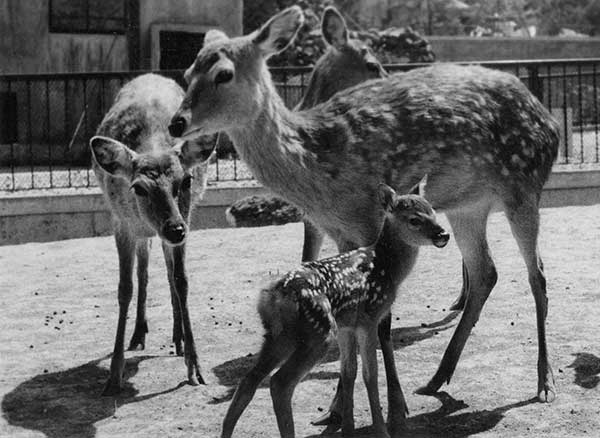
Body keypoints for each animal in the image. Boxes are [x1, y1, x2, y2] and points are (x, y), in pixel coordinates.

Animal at [90, 73, 217, 396]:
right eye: (138, 187)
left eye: (186, 179)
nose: (176, 229)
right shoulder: (121, 223)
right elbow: (125, 287)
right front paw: (113, 377)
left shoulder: (186, 217)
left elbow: (181, 280)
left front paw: (195, 367)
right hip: (142, 231)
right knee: (144, 271)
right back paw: (138, 334)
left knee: (168, 270)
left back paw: (178, 338)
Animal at [221, 182, 450, 438]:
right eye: (414, 219)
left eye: (433, 212)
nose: (443, 235)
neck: (386, 266)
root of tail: (276, 295)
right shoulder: (369, 318)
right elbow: (370, 375)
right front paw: (381, 431)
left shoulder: (346, 325)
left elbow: (349, 372)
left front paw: (348, 428)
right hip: (318, 330)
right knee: (280, 383)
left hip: (279, 334)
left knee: (249, 380)